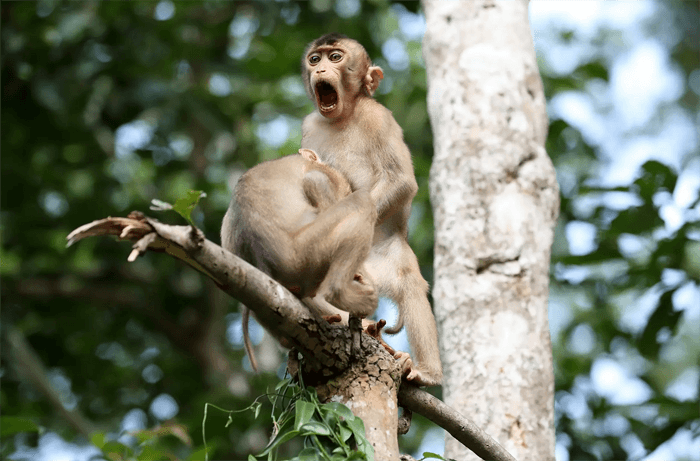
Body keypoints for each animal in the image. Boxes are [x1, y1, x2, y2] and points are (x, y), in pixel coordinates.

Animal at [221, 148, 378, 370]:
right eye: (345, 190)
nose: (344, 193)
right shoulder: (322, 179)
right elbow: (315, 182)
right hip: (307, 252)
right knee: (362, 201)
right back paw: (343, 295)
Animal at [300, 34, 443, 386]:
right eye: (314, 59)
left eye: (335, 57)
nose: (320, 69)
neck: (344, 116)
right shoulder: (310, 126)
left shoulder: (379, 117)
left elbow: (400, 180)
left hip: (389, 258)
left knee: (409, 283)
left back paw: (426, 372)